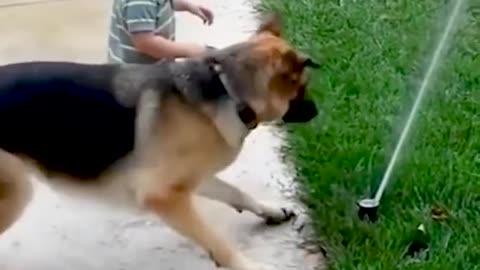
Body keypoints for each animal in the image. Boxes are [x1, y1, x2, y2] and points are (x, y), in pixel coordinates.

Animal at [0, 15, 318, 270]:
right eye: (301, 88)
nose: (317, 111)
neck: (228, 91)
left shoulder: (193, 179)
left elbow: (236, 193)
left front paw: (270, 210)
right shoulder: (164, 195)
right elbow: (215, 239)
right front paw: (247, 265)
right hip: (17, 190)